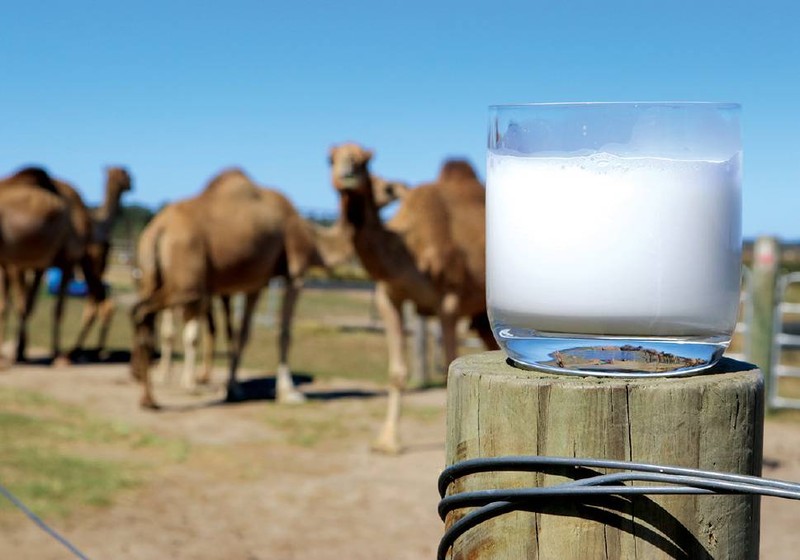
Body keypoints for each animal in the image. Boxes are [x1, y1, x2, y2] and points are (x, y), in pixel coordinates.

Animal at [154, 175, 410, 394]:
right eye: (386, 187)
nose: (402, 187)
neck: (314, 241)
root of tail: (159, 227)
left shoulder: (255, 283)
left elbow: (242, 333)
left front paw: (233, 385)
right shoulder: (295, 274)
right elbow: (284, 331)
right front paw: (286, 387)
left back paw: (169, 376)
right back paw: (187, 381)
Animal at [328, 144, 496, 456]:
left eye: (364, 161)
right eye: (329, 158)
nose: (347, 176)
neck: (411, 250)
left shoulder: (449, 301)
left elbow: (447, 365)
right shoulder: (388, 296)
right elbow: (397, 372)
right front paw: (387, 441)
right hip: (481, 316)